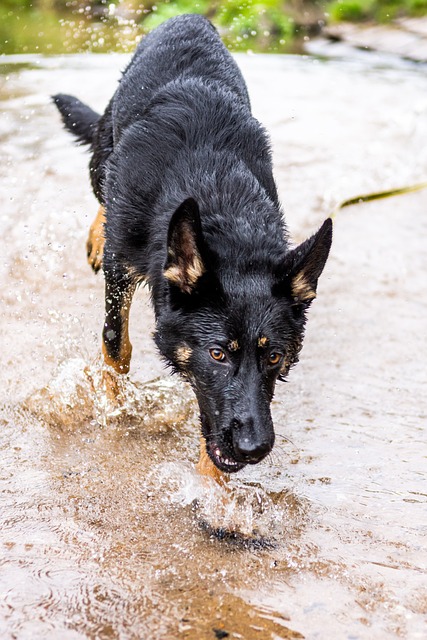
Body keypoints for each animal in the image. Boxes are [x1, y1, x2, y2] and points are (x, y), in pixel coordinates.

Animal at [53, 13, 332, 484]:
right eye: (218, 353)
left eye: (274, 356)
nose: (255, 449)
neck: (217, 201)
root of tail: (189, 16)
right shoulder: (120, 269)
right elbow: (116, 347)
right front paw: (113, 407)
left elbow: (212, 421)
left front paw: (209, 487)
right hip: (103, 157)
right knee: (103, 187)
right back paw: (97, 232)